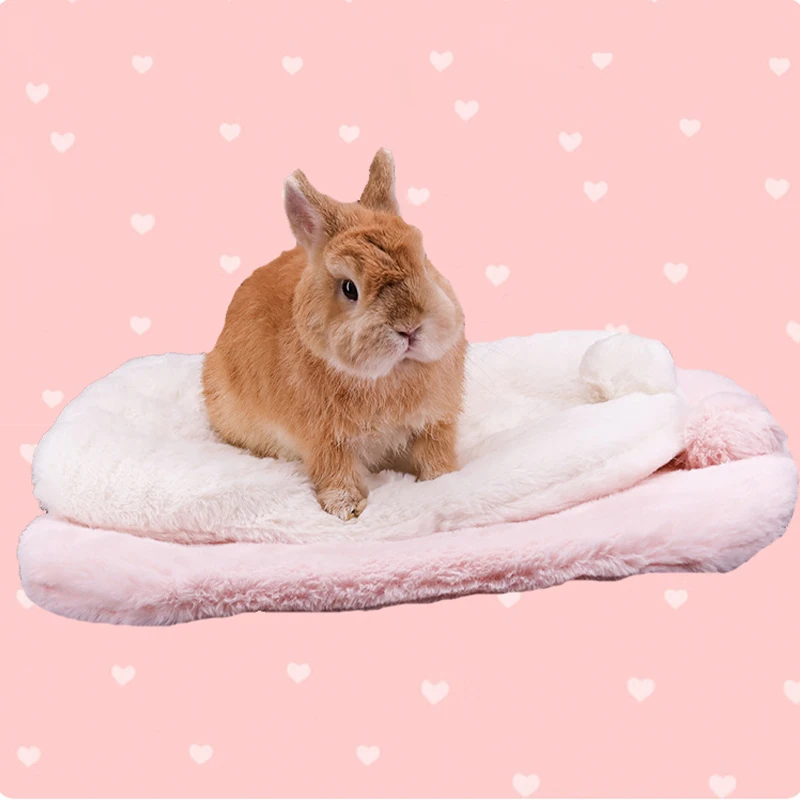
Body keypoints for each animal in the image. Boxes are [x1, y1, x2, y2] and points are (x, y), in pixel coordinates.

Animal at [202, 148, 467, 521]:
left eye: (425, 260)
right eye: (349, 288)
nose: (410, 326)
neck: (390, 374)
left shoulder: (435, 423)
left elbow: (436, 456)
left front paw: (445, 480)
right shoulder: (325, 439)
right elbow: (334, 471)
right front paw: (347, 510)